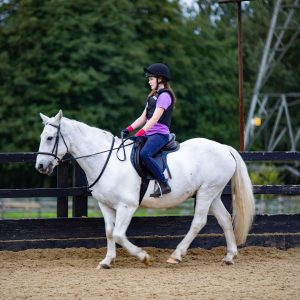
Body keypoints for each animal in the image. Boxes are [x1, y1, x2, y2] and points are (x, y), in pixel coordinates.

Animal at [35, 111, 255, 268]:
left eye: (50, 138)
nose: (40, 166)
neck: (106, 160)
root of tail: (224, 148)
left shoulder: (127, 206)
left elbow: (118, 234)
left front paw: (143, 256)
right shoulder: (106, 205)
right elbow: (109, 232)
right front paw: (107, 261)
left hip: (206, 193)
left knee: (198, 222)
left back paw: (176, 255)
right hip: (212, 194)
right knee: (225, 219)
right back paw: (229, 256)